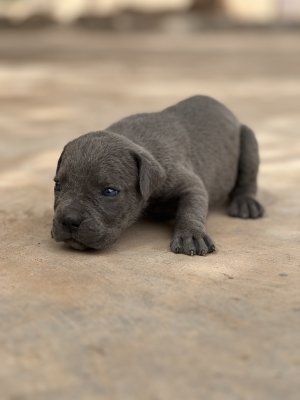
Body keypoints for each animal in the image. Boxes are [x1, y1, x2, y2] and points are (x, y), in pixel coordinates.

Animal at [52, 95, 264, 255]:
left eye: (110, 192)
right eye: (58, 186)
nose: (69, 220)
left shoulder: (191, 184)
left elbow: (191, 209)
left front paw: (191, 235)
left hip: (249, 141)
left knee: (247, 179)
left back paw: (245, 203)